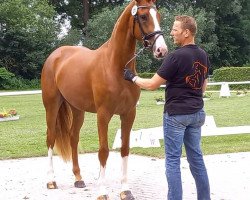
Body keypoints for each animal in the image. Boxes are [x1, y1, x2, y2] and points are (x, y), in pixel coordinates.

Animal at [40, 0, 166, 198]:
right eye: (144, 16)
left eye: (158, 16)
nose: (161, 50)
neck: (115, 66)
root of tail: (55, 55)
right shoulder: (103, 115)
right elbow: (103, 151)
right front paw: (102, 191)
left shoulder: (129, 114)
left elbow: (125, 149)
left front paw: (125, 190)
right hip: (52, 106)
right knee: (50, 138)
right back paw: (51, 180)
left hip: (78, 110)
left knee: (73, 138)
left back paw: (78, 178)